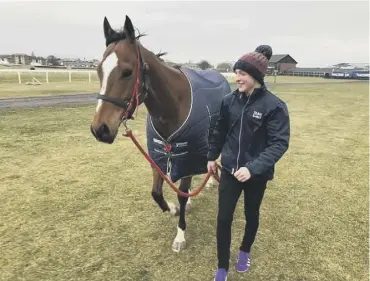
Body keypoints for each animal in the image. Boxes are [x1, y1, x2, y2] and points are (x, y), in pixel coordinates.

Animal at [90, 14, 231, 252]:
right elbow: (157, 193)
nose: (99, 129)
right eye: (99, 70)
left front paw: (180, 235)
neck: (173, 107)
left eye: (127, 72)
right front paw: (173, 208)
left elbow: (181, 192)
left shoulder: (187, 153)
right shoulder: (158, 155)